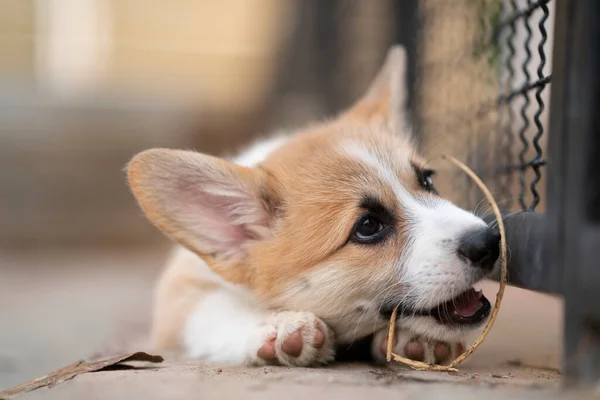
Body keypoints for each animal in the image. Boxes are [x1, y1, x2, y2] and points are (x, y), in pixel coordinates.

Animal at [125, 45, 496, 368]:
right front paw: (278, 328)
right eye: (368, 226)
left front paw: (420, 340)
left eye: (428, 181)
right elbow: (213, 311)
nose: (490, 243)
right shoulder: (179, 298)